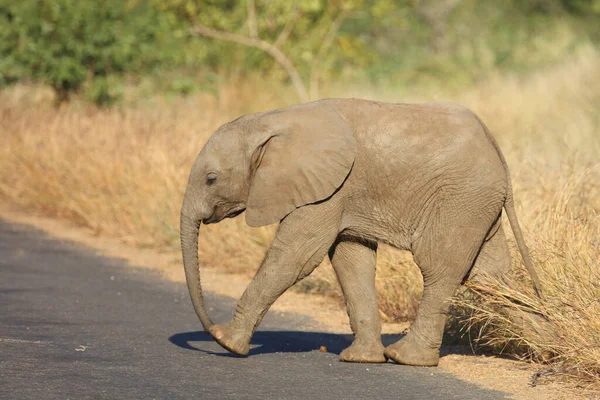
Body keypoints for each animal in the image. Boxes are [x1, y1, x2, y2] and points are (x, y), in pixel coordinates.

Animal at [180, 99, 540, 366]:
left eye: (211, 179)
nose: (209, 327)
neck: (271, 120)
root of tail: (498, 152)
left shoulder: (328, 188)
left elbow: (297, 256)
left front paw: (226, 343)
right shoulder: (338, 192)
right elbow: (350, 259)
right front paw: (361, 359)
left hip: (460, 199)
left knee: (441, 270)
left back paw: (406, 358)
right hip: (478, 204)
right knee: (489, 278)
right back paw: (542, 349)